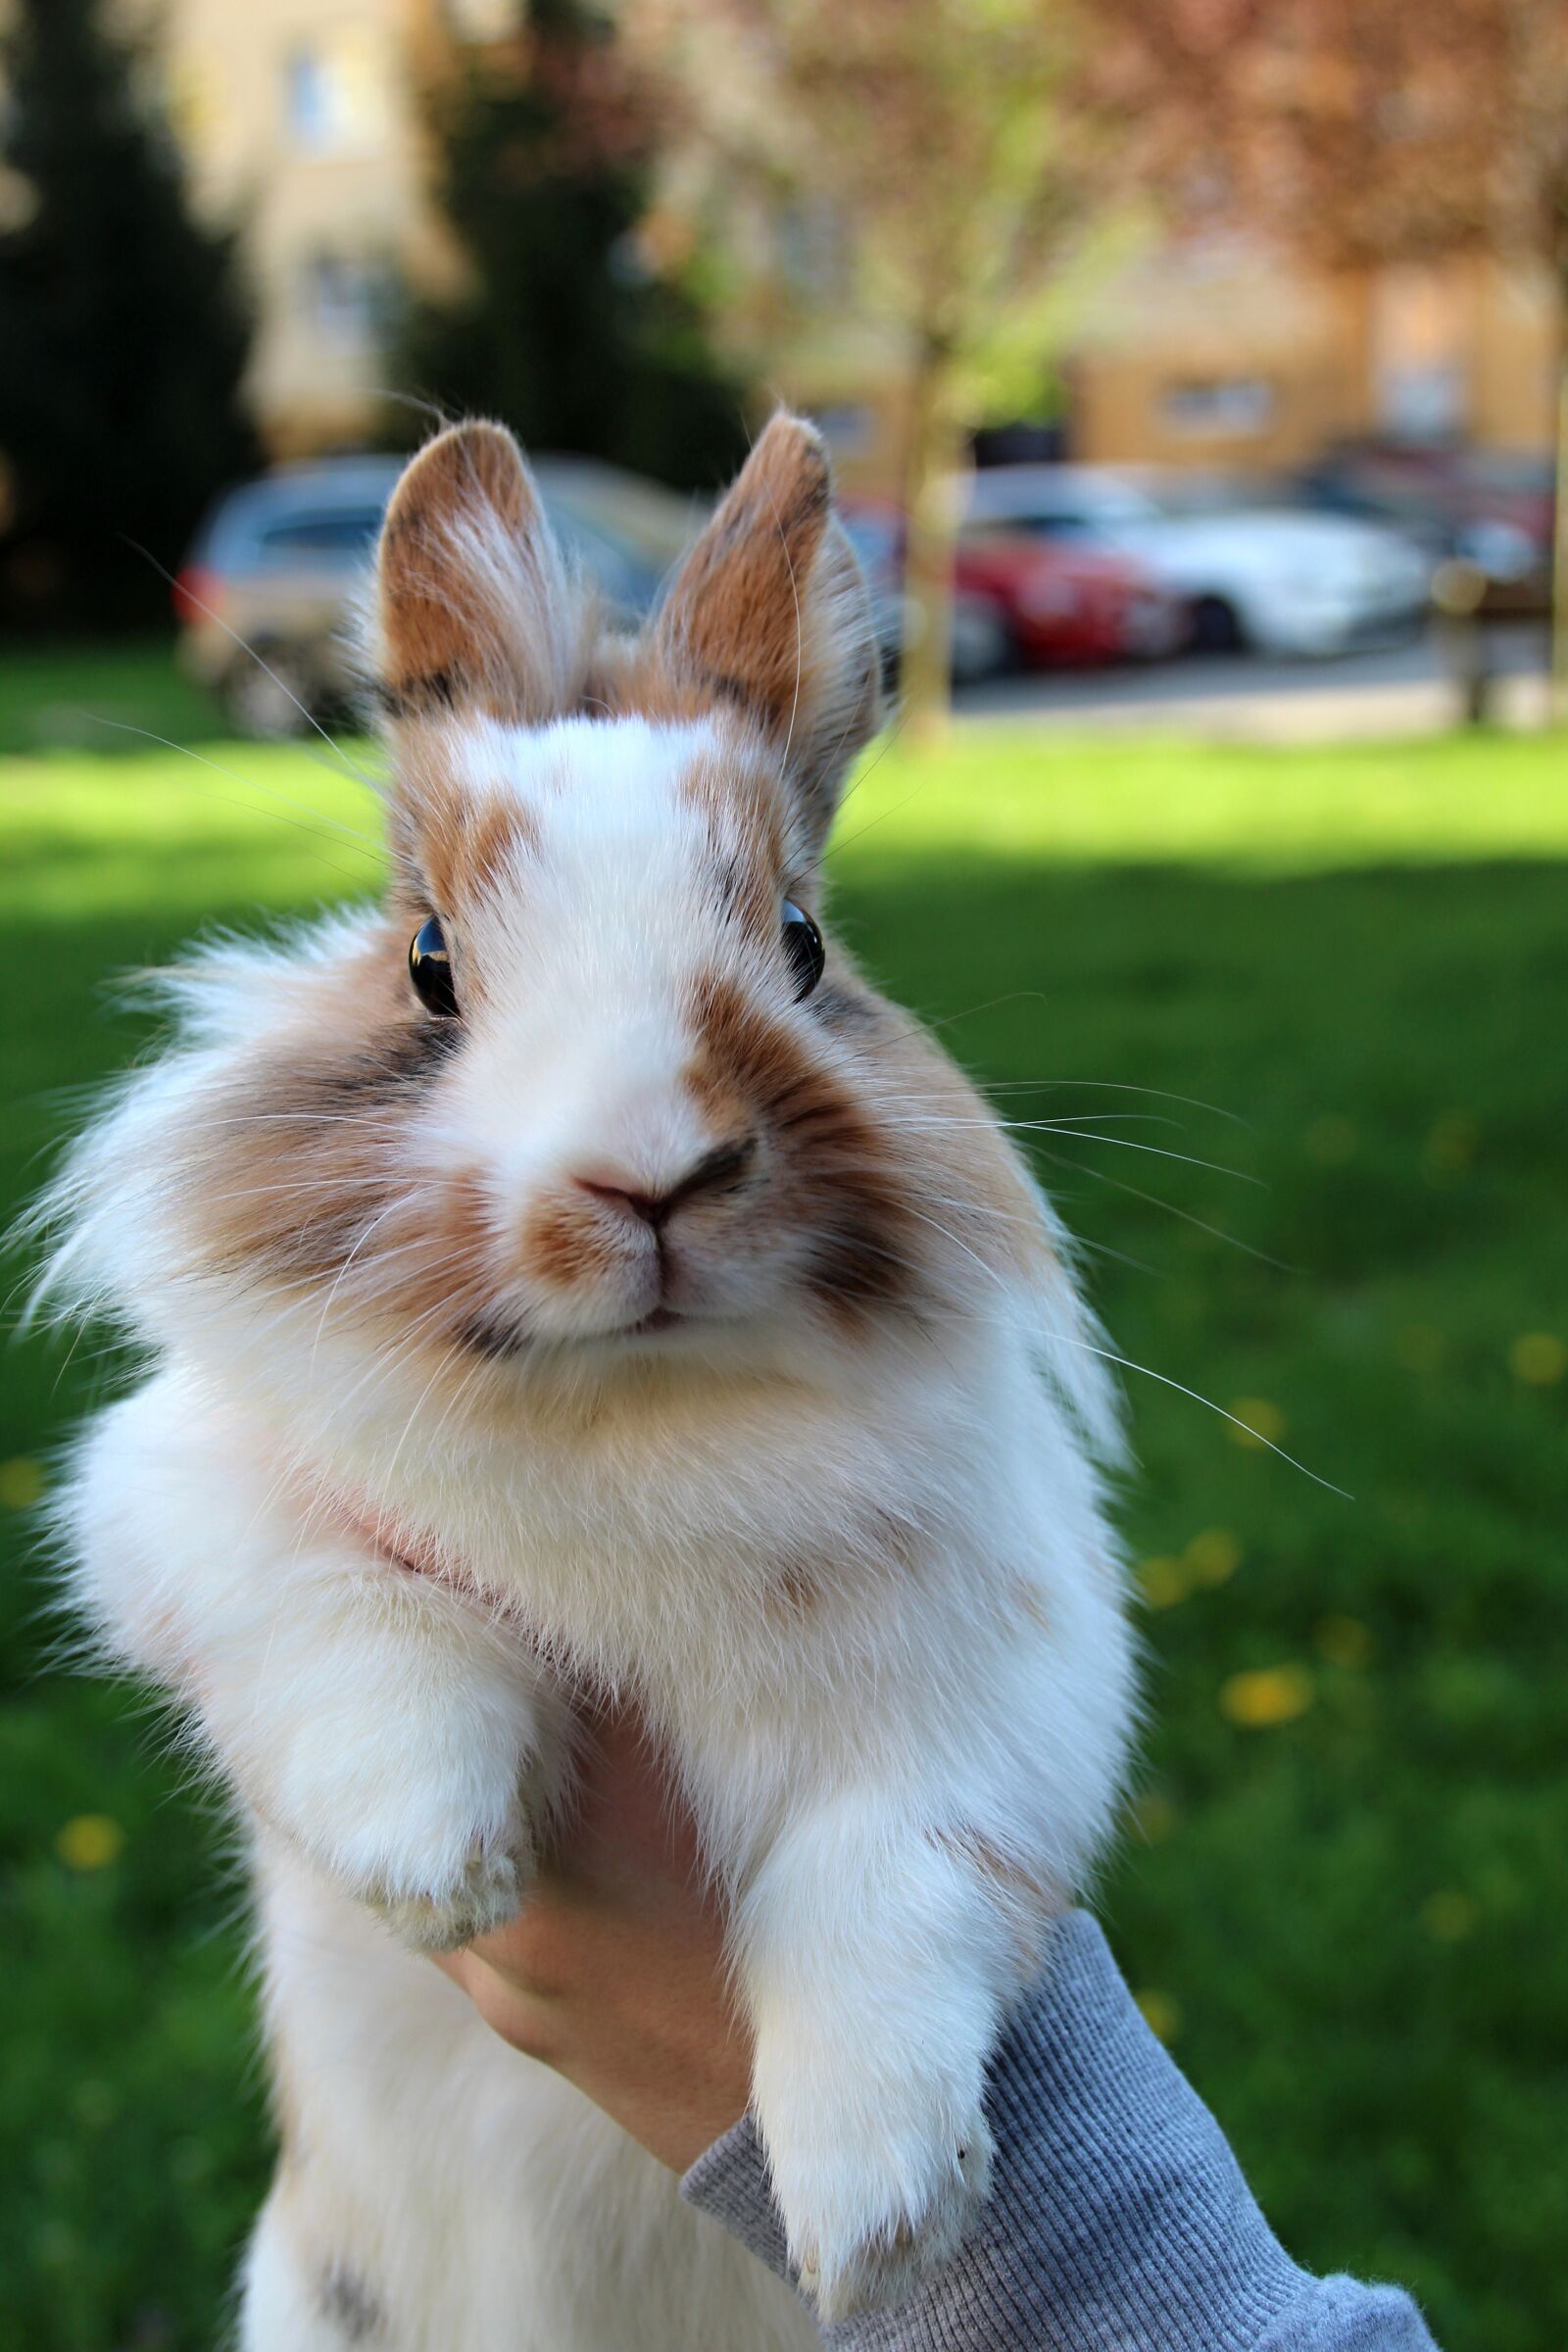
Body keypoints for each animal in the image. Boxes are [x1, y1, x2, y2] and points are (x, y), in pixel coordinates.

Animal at [34, 413, 1136, 2349]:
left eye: (803, 946)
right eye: (428, 965)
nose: (650, 1174)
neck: (638, 1412)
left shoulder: (1014, 1682)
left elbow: (896, 1885)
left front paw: (879, 2213)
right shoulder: (185, 1507)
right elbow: (358, 1627)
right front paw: (437, 1860)